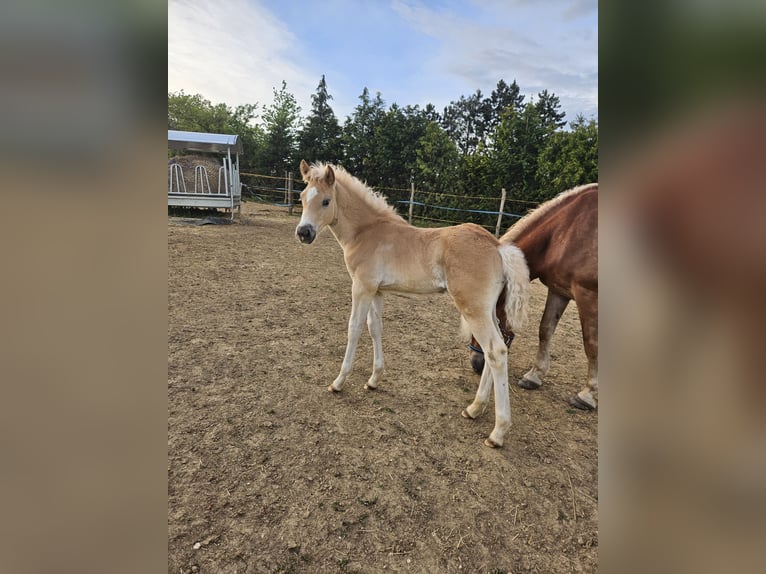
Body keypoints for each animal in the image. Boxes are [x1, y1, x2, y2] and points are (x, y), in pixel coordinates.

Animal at [296, 162, 532, 450]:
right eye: (302, 197)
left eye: (326, 201)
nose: (303, 233)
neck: (367, 232)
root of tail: (497, 246)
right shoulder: (376, 291)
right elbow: (375, 329)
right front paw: (373, 380)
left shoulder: (361, 287)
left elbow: (354, 329)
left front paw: (338, 382)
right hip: (486, 310)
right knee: (496, 349)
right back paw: (475, 409)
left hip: (473, 309)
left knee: (495, 351)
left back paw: (497, 433)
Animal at [468, 183, 600, 410]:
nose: (477, 363)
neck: (567, 231)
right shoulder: (558, 290)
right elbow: (545, 330)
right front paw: (534, 376)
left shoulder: (587, 295)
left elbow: (590, 343)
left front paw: (588, 394)